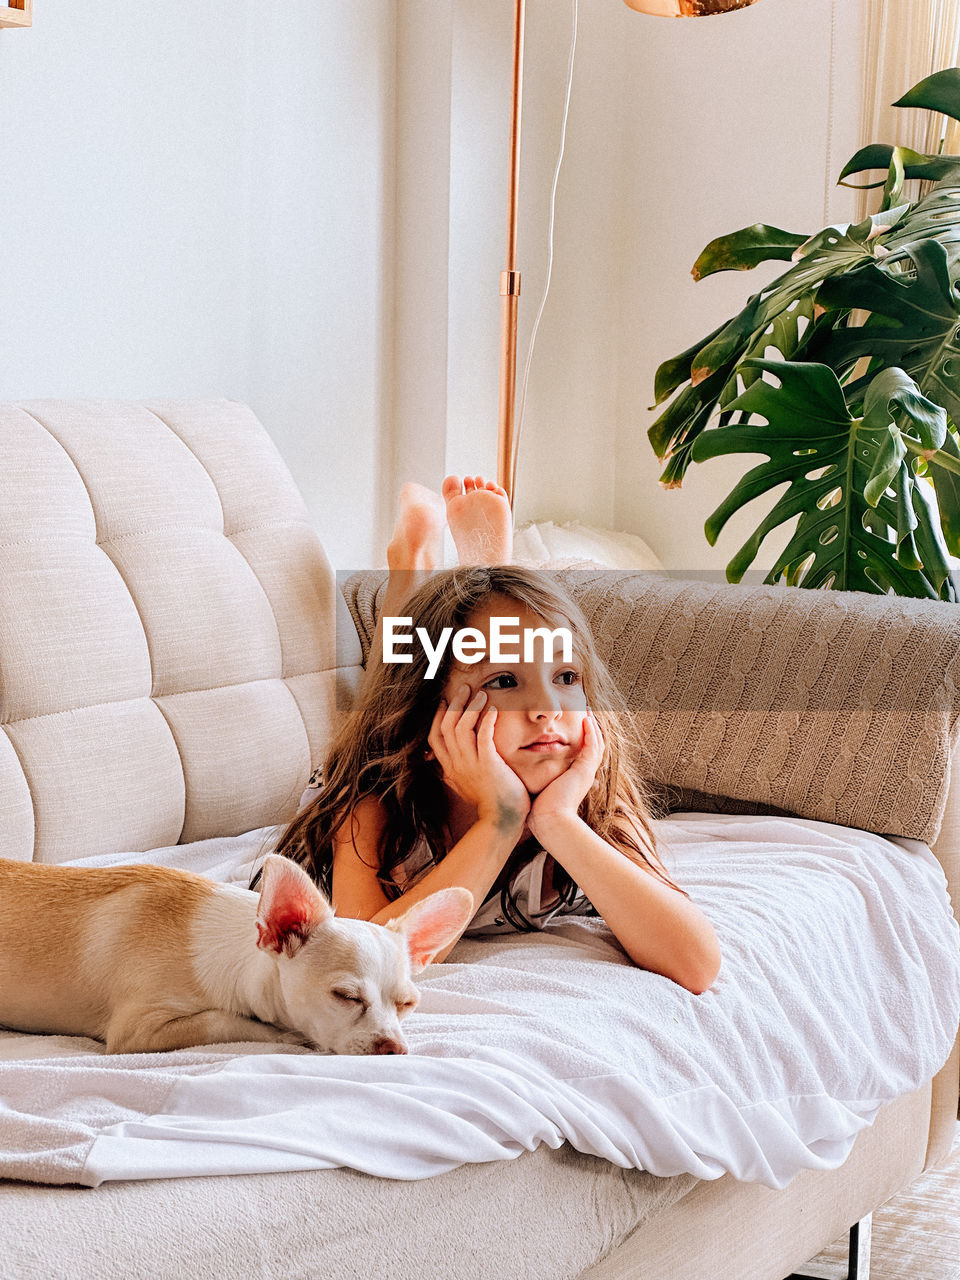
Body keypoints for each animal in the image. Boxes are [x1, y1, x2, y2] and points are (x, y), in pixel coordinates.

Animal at [0, 855, 473, 1054]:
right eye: (346, 997)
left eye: (407, 1005)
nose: (394, 1047)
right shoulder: (137, 1032)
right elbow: (223, 1020)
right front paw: (285, 1036)